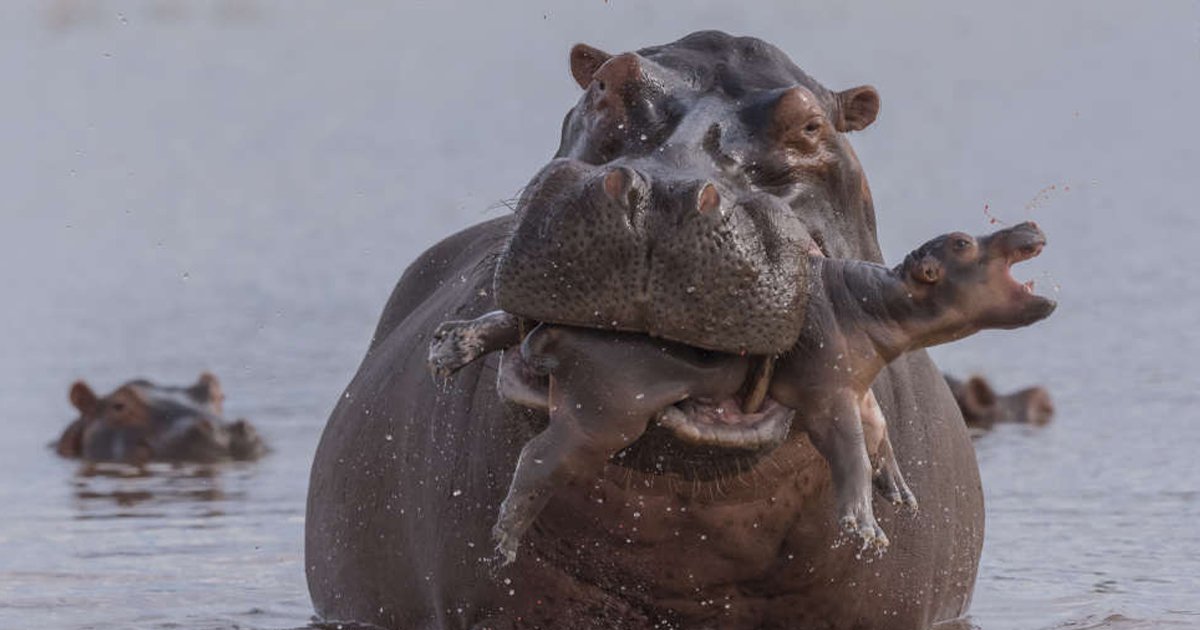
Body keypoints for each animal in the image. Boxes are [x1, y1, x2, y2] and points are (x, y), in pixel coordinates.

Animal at [429, 220, 1051, 559]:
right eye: (963, 242)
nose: (1029, 226)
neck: (874, 299)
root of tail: (558, 335)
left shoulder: (858, 386)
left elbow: (877, 431)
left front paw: (900, 491)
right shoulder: (828, 395)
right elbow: (848, 451)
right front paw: (867, 531)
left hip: (557, 332)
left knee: (507, 323)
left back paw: (448, 348)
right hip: (601, 415)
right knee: (537, 457)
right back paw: (504, 540)